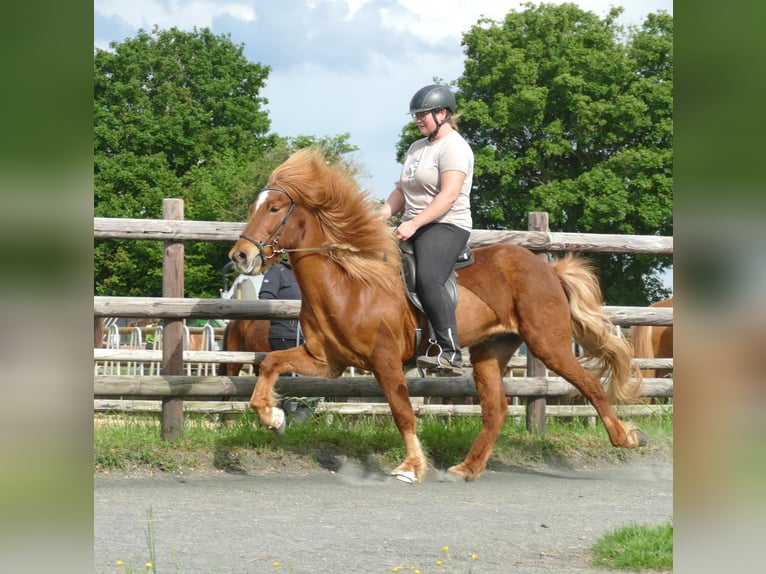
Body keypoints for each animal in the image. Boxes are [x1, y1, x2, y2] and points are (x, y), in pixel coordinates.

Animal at [230, 146, 648, 484]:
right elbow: (270, 363)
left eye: (274, 208)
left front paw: (411, 467)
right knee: (496, 411)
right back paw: (467, 469)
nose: (240, 256)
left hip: (548, 343)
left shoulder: (385, 361)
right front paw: (272, 417)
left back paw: (627, 436)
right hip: (490, 352)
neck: (350, 283)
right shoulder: (326, 361)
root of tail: (548, 269)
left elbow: (402, 412)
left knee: (590, 385)